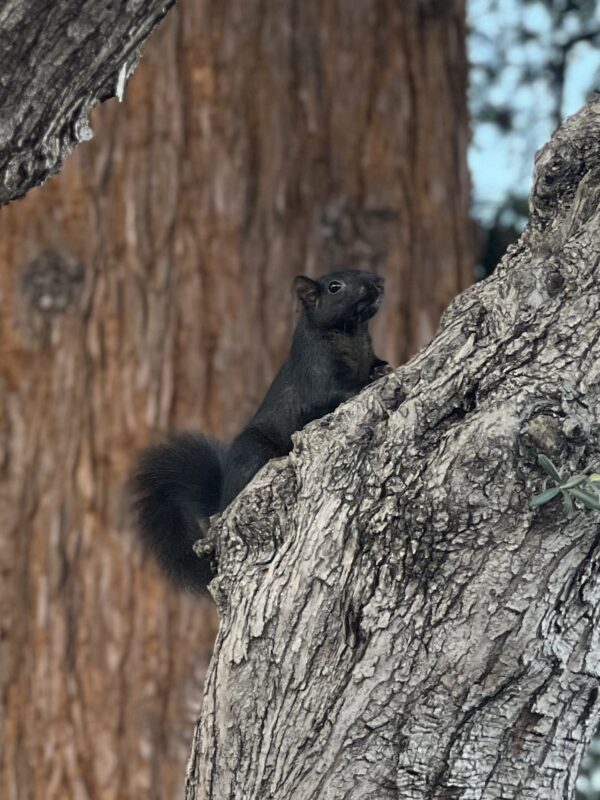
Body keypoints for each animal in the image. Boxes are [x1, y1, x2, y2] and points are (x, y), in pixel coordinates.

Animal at [133, 269, 389, 592]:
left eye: (364, 272)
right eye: (335, 287)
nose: (378, 282)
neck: (352, 334)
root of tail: (222, 499)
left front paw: (381, 369)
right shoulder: (317, 373)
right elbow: (334, 394)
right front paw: (367, 382)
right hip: (254, 452)